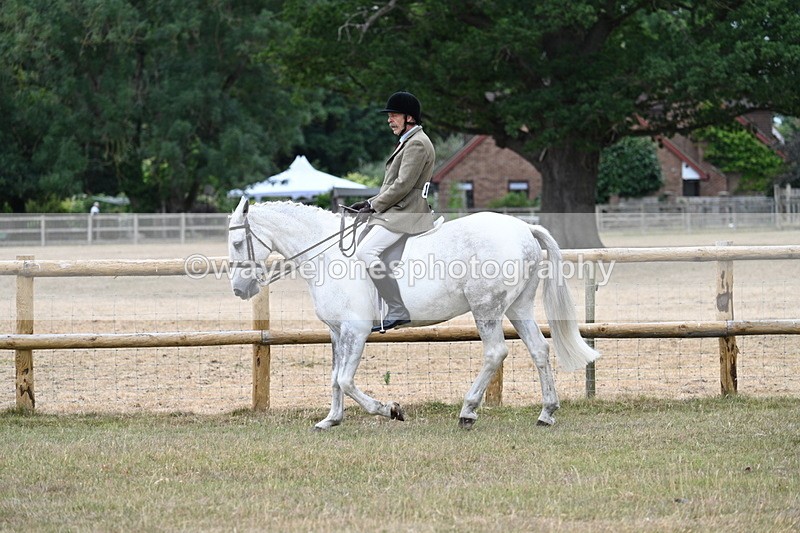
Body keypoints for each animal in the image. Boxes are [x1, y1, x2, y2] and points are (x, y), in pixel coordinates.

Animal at [227, 197, 599, 430]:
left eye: (236, 243)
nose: (239, 290)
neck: (328, 254)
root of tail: (523, 228)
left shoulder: (355, 330)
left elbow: (345, 379)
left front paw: (389, 409)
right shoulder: (336, 332)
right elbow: (334, 378)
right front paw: (331, 420)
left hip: (486, 307)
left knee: (495, 352)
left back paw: (468, 412)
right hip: (518, 307)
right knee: (539, 349)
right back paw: (546, 413)